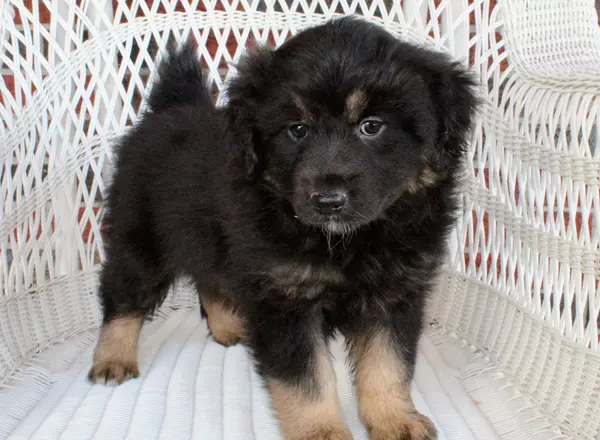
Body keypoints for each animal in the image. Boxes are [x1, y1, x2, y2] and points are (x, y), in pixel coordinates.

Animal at [88, 16, 478, 440]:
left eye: (372, 126)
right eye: (297, 129)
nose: (328, 200)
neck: (348, 242)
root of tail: (169, 108)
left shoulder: (394, 295)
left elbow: (388, 364)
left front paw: (395, 419)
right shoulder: (284, 298)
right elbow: (306, 380)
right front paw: (322, 431)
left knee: (209, 279)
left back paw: (229, 326)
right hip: (141, 240)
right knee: (122, 295)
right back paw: (112, 358)